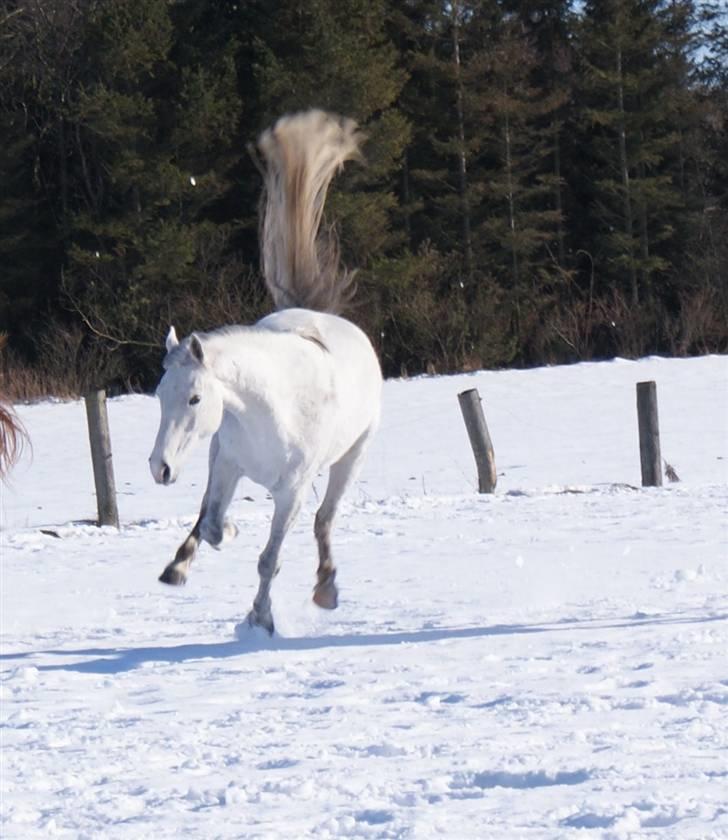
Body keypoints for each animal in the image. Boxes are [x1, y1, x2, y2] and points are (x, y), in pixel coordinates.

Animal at [151, 111, 384, 636]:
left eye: (195, 398)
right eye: (158, 395)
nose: (160, 468)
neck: (271, 411)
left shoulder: (291, 494)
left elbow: (269, 560)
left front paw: (260, 619)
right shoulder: (225, 461)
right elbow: (212, 524)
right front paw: (220, 538)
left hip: (352, 458)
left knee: (325, 520)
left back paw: (326, 589)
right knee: (207, 520)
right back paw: (176, 566)